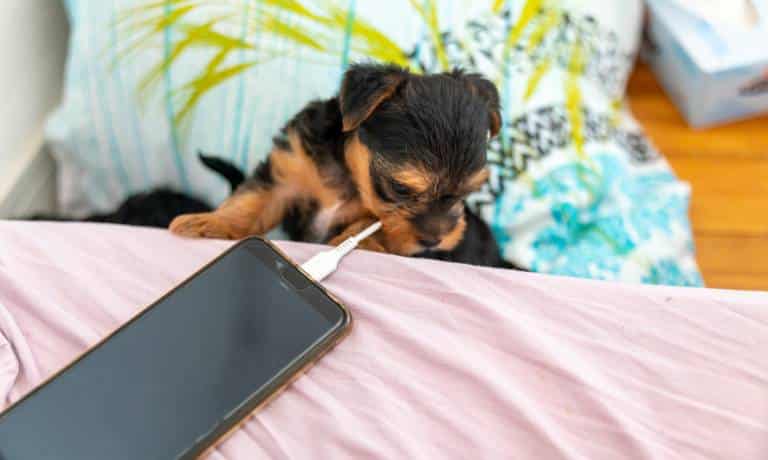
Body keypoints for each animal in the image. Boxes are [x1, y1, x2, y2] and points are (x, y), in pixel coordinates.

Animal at [171, 63, 500, 260]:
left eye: (468, 193)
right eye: (400, 188)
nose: (435, 240)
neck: (350, 173)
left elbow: (372, 224)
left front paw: (362, 241)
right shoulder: (291, 168)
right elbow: (253, 199)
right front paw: (212, 221)